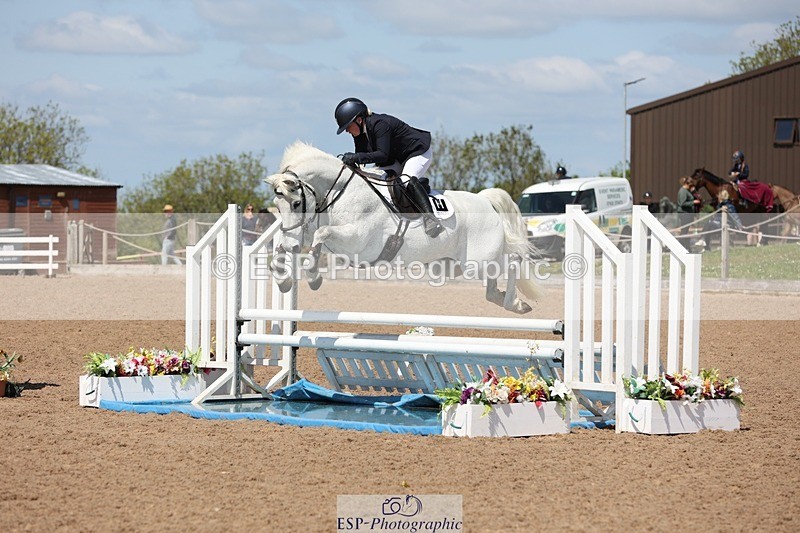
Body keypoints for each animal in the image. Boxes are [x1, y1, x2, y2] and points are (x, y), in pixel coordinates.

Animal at [264, 141, 542, 314]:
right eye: (276, 205)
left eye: (296, 203)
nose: (293, 244)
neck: (341, 190)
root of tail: (485, 200)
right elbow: (289, 246)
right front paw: (283, 280)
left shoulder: (357, 241)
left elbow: (321, 235)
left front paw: (313, 277)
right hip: (457, 264)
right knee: (493, 282)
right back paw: (504, 299)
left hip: (479, 260)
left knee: (513, 261)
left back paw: (516, 304)